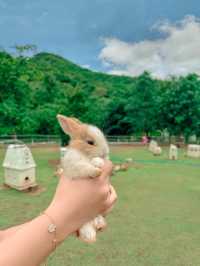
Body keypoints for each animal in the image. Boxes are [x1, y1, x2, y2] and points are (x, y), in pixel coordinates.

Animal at [56, 114, 109, 243]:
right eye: (90, 142)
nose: (105, 153)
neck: (83, 154)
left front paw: (99, 162)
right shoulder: (75, 166)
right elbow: (86, 167)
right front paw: (97, 169)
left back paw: (99, 225)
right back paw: (89, 236)